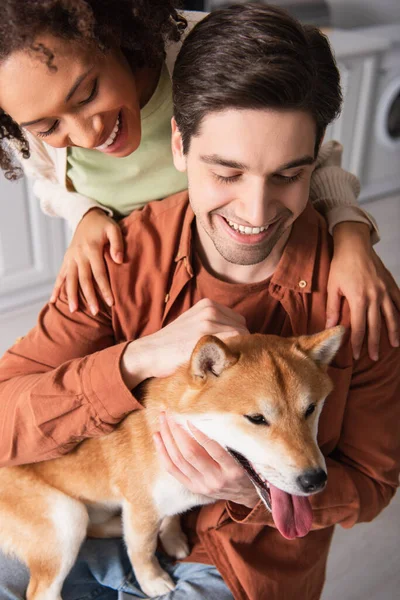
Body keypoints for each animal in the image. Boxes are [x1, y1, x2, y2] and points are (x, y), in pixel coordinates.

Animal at [0, 328, 344, 600]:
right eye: (256, 418)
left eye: (310, 409)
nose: (315, 480)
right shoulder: (141, 506)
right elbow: (142, 551)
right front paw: (153, 581)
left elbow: (172, 516)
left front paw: (172, 536)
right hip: (66, 517)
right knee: (43, 590)